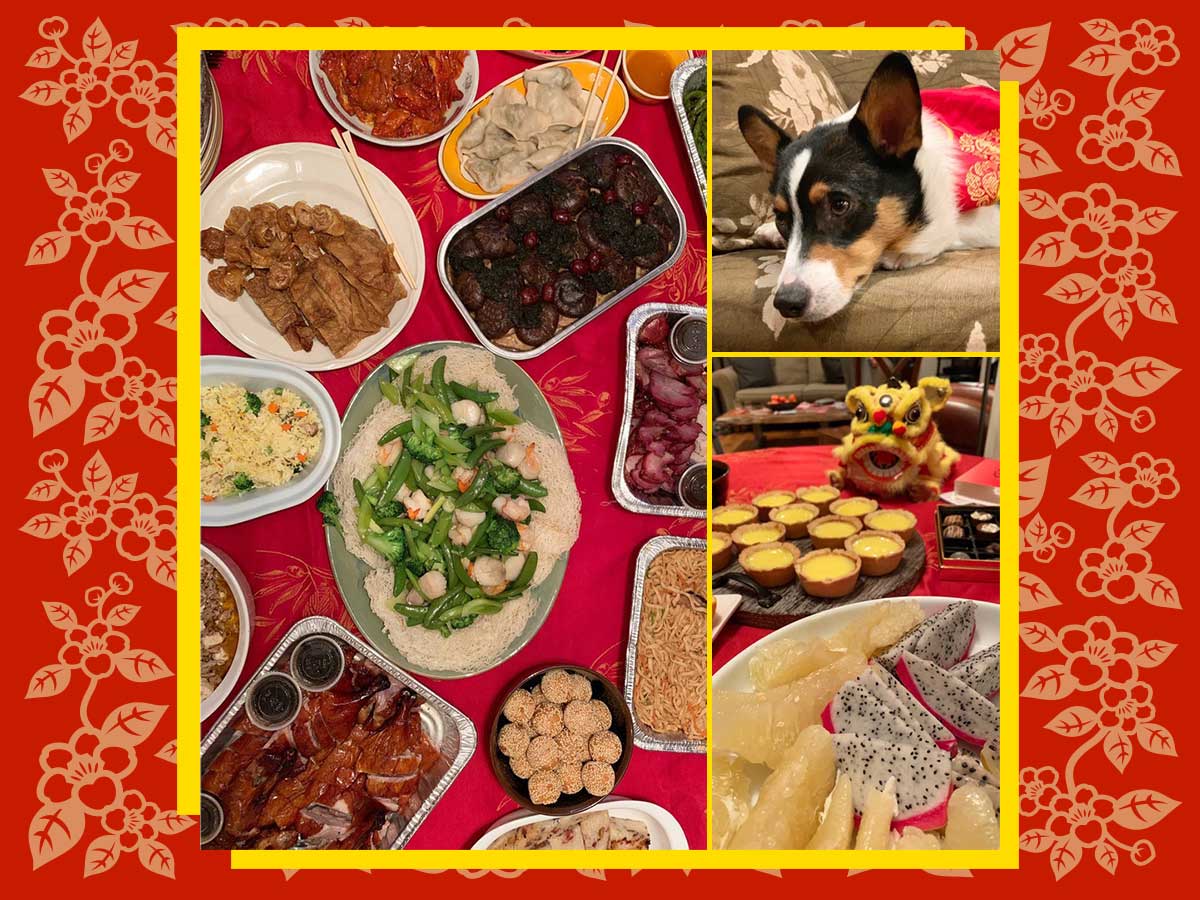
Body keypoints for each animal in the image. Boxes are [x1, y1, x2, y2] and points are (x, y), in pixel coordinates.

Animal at [739, 51, 1003, 321]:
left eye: (839, 204)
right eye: (781, 218)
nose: (785, 304)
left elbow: (947, 228)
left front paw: (901, 253)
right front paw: (770, 231)